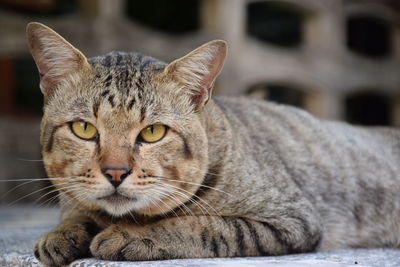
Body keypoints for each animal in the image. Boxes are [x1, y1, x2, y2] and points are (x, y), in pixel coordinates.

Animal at [25, 23, 400, 267]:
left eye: (153, 132)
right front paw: (63, 232)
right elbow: (77, 208)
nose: (115, 172)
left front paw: (130, 234)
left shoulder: (291, 219)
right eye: (84, 128)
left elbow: (202, 224)